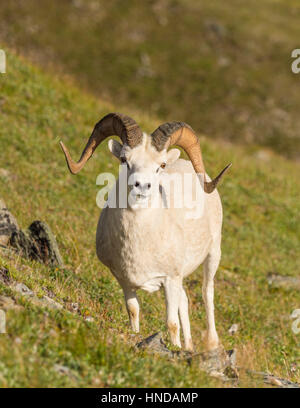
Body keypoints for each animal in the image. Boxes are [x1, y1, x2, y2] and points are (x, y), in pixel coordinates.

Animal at [59, 111, 231, 350]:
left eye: (161, 165)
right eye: (124, 159)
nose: (141, 186)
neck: (139, 242)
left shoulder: (170, 280)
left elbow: (171, 324)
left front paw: (174, 349)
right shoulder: (125, 281)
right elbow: (133, 312)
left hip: (213, 254)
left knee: (207, 293)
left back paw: (211, 344)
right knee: (185, 301)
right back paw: (188, 347)